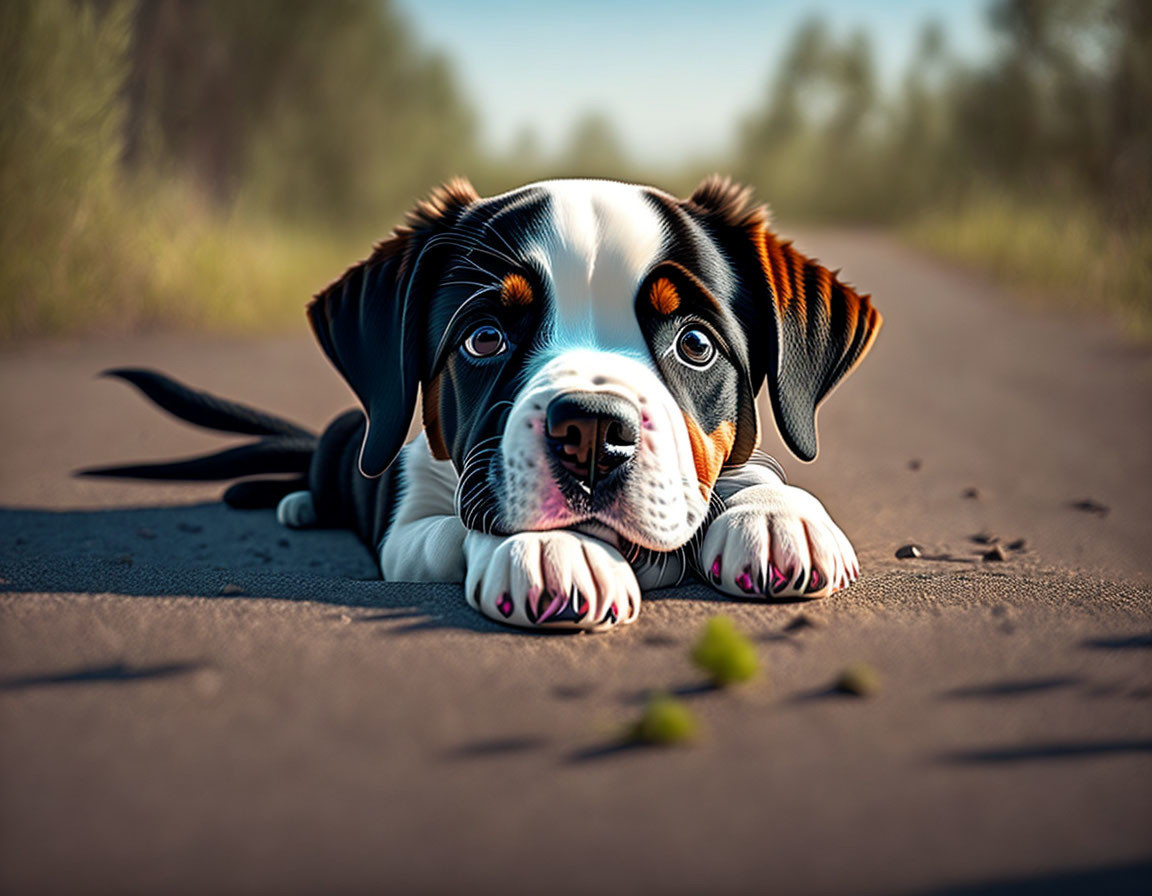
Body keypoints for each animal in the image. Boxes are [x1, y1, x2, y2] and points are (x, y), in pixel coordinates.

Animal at [87, 178, 880, 631]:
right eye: (485, 338)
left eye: (695, 344)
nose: (593, 433)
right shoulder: (407, 531)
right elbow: (465, 521)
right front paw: (552, 549)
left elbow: (749, 470)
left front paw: (776, 515)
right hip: (346, 440)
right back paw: (300, 503)